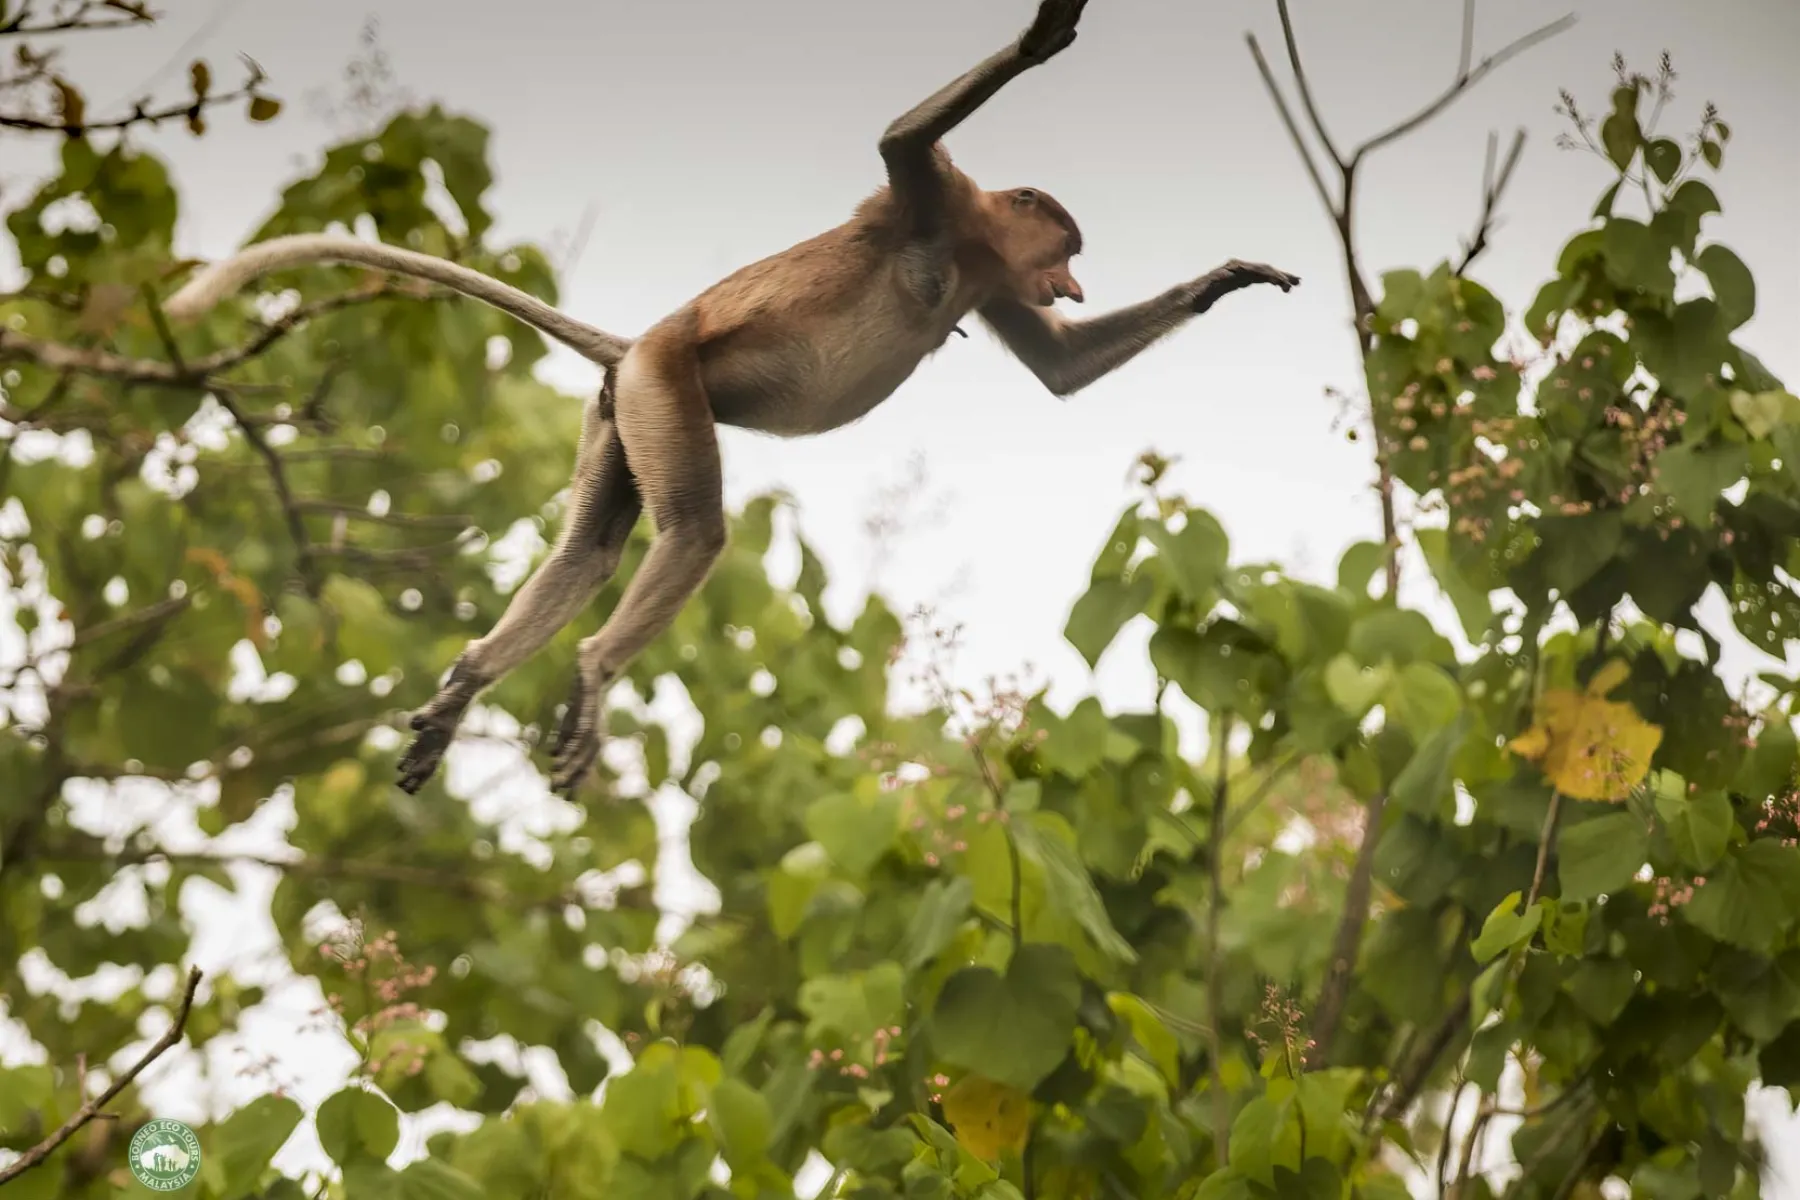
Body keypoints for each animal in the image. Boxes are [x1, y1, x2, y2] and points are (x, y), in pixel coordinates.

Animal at [164, 0, 1300, 797]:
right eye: (1064, 250)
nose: (1071, 287)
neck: (974, 246)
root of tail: (635, 342)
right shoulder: (939, 203)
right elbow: (901, 141)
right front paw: (1044, 32)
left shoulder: (986, 278)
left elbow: (1061, 373)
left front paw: (1230, 279)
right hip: (666, 383)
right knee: (694, 532)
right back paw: (588, 672)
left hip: (616, 415)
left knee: (591, 549)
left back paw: (466, 685)